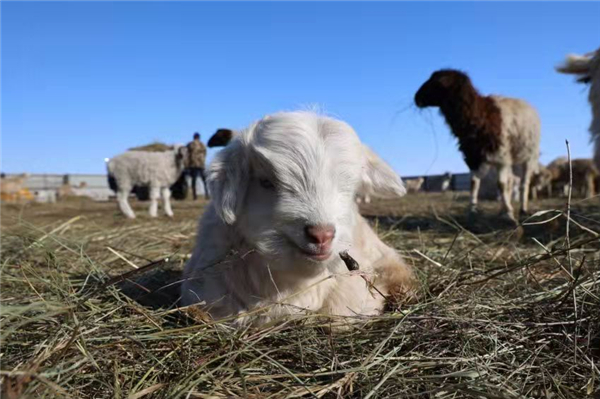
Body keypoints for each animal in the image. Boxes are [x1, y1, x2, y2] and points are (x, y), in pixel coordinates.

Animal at [414, 69, 540, 222]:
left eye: (438, 83)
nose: (416, 98)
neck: (478, 115)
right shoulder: (473, 156)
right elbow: (474, 183)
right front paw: (472, 211)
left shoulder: (501, 156)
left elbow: (501, 184)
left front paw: (508, 214)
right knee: (511, 181)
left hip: (528, 156)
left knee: (523, 183)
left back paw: (522, 209)